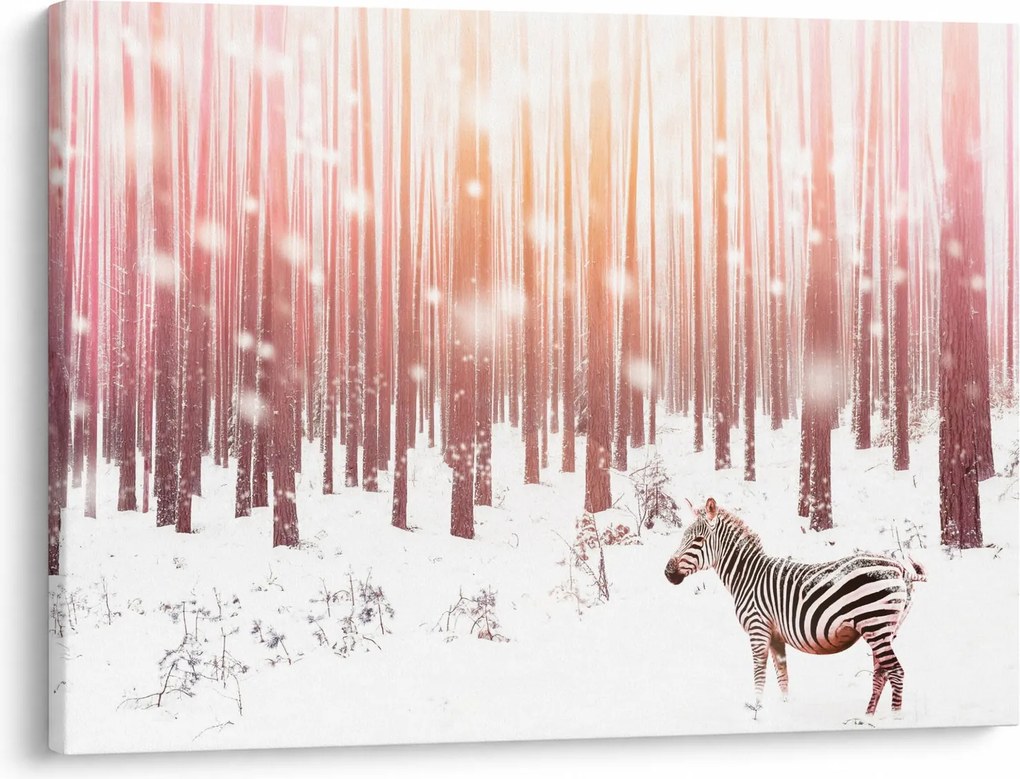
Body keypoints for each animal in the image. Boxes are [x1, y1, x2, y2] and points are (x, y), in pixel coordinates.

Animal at [664, 498, 926, 715]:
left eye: (697, 540)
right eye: (683, 538)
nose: (667, 573)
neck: (748, 576)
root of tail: (898, 568)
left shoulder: (758, 629)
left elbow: (759, 674)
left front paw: (756, 711)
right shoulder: (775, 635)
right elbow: (782, 677)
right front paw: (784, 708)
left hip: (875, 624)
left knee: (896, 671)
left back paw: (894, 718)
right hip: (885, 629)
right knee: (882, 672)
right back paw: (867, 716)